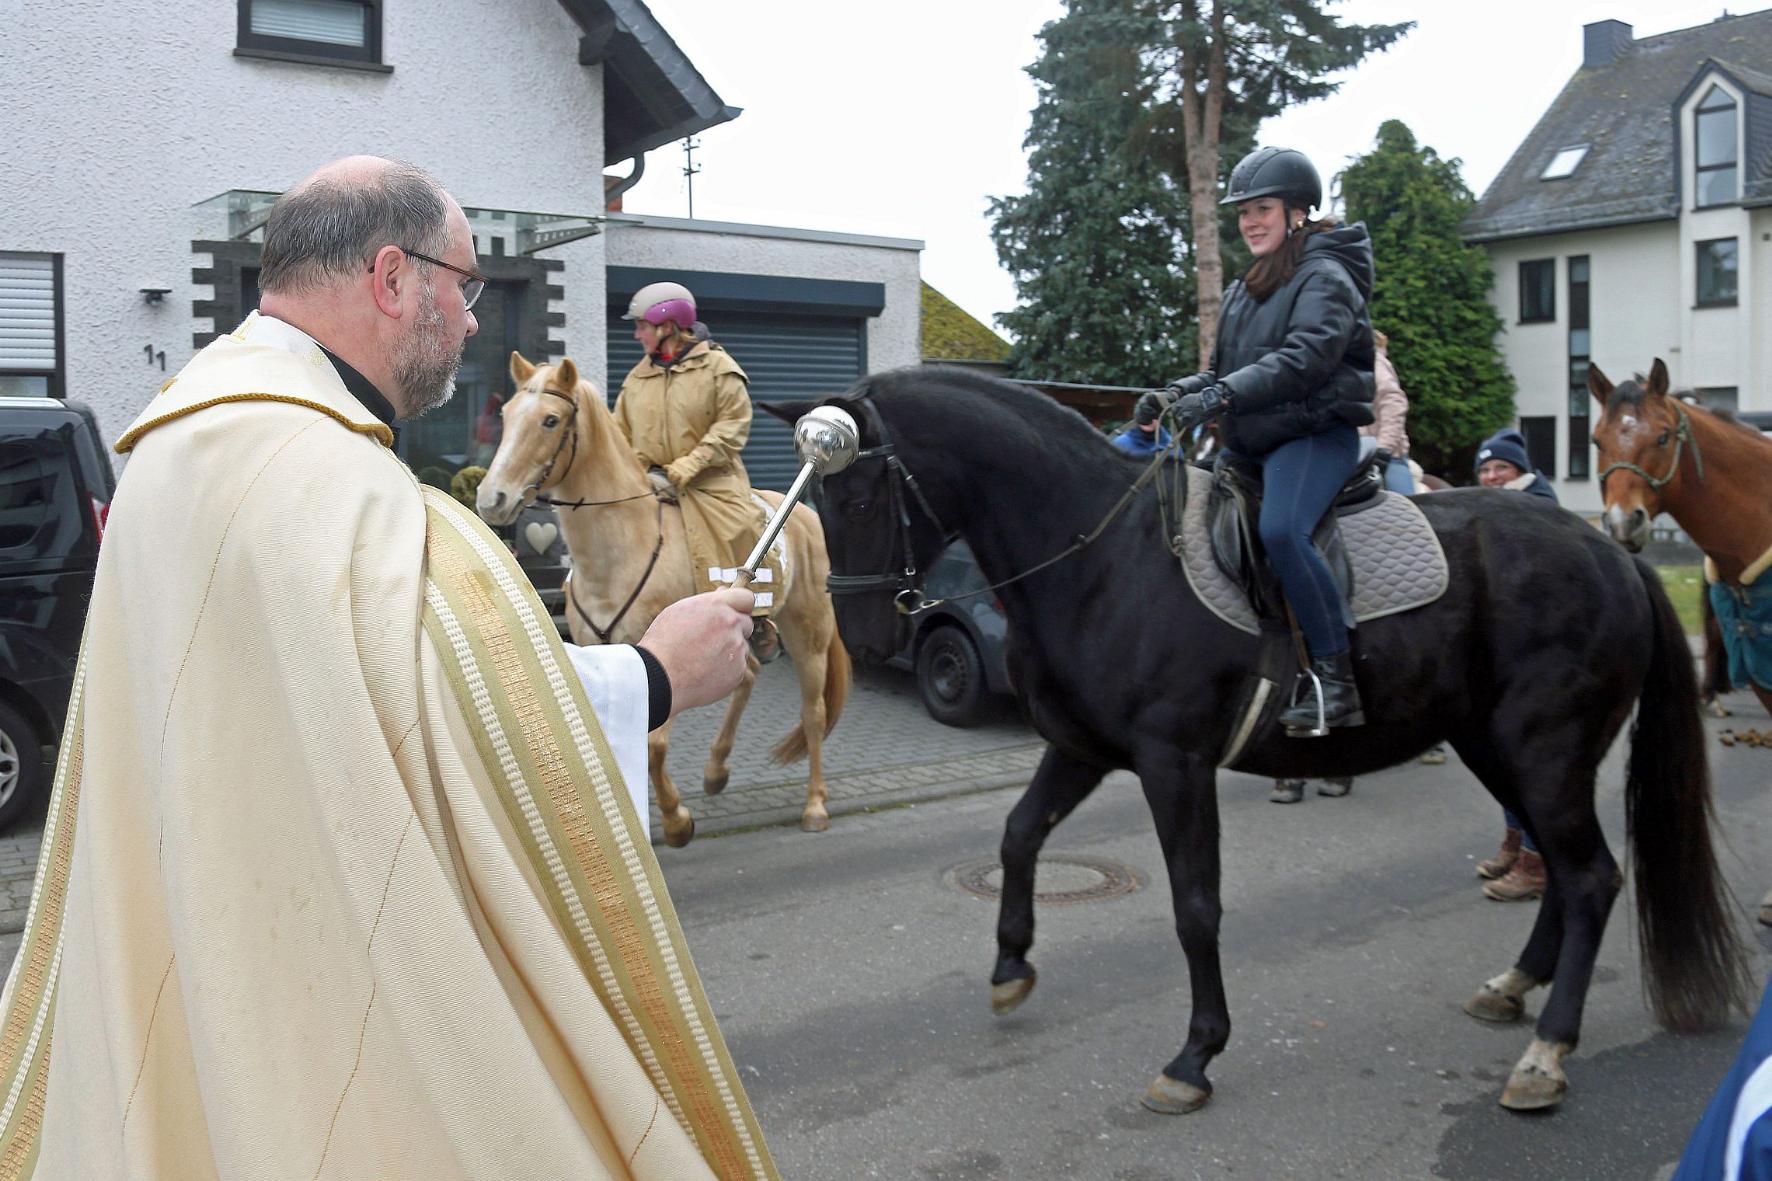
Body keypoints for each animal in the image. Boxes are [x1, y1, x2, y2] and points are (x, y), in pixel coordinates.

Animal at [478, 345, 850, 840]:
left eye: (550, 420)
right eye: (506, 413)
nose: (491, 499)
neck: (623, 549)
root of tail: (806, 517)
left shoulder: (661, 654)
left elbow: (654, 748)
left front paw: (676, 821)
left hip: (808, 633)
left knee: (813, 713)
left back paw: (815, 804)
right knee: (749, 676)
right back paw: (716, 771)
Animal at [769, 365, 1750, 1113]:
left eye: (861, 489)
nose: (861, 637)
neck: (1102, 555)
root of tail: (1612, 550)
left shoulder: (1174, 763)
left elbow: (1194, 906)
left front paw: (1195, 1056)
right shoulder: (1084, 748)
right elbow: (1018, 835)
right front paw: (1012, 964)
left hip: (1545, 751)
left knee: (1590, 878)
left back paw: (1546, 1052)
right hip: (1500, 748)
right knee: (1564, 870)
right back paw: (1512, 990)